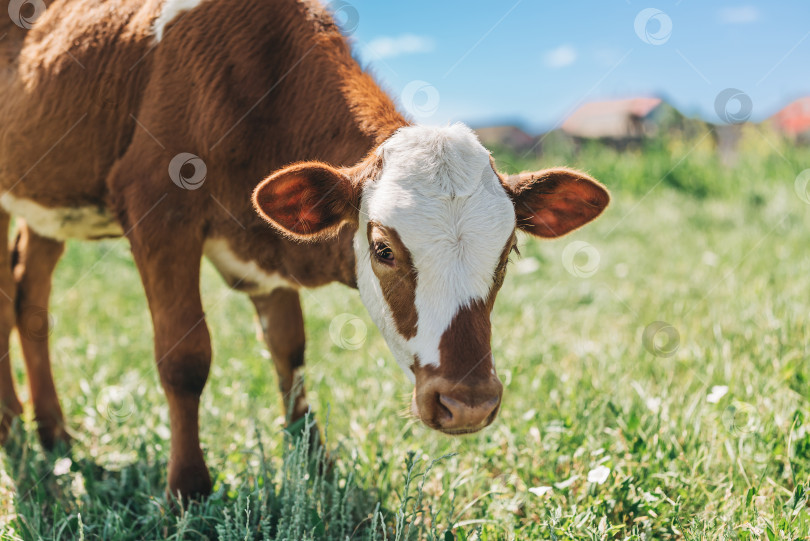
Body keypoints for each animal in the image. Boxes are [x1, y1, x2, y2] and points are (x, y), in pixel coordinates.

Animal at [0, 0, 608, 496]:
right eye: (383, 250)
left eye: (507, 253)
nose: (469, 404)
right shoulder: (157, 208)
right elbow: (184, 358)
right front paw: (188, 489)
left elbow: (288, 348)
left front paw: (315, 460)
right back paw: (11, 427)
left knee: (30, 295)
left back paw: (51, 430)